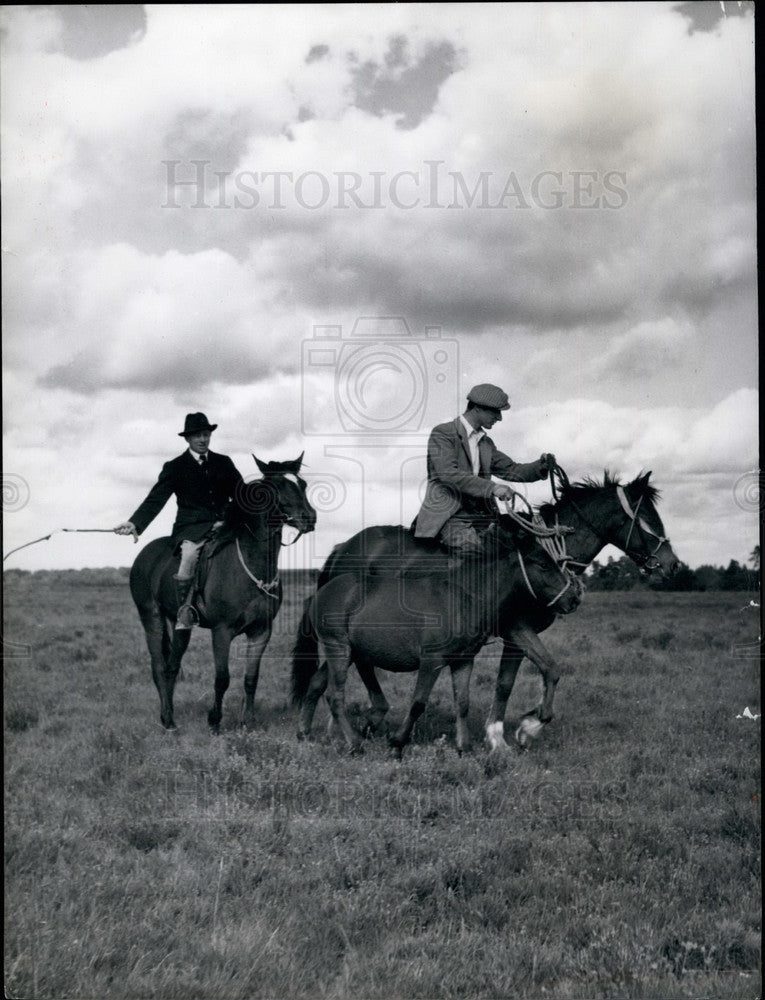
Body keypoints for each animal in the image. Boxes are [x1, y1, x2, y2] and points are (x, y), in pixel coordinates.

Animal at [130, 458, 314, 732]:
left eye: (302, 484)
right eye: (278, 485)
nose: (309, 518)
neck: (250, 563)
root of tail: (144, 554)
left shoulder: (261, 631)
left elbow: (251, 678)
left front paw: (247, 722)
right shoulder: (222, 630)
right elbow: (222, 678)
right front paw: (215, 721)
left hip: (178, 623)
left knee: (173, 665)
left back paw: (170, 716)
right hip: (151, 618)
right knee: (159, 666)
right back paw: (168, 720)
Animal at [290, 520, 580, 752]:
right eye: (542, 564)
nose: (573, 598)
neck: (463, 597)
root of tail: (321, 592)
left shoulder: (463, 660)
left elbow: (462, 702)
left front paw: (464, 747)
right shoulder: (432, 660)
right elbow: (418, 702)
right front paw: (397, 743)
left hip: (347, 652)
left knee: (316, 683)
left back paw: (304, 733)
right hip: (338, 649)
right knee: (335, 696)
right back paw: (354, 743)